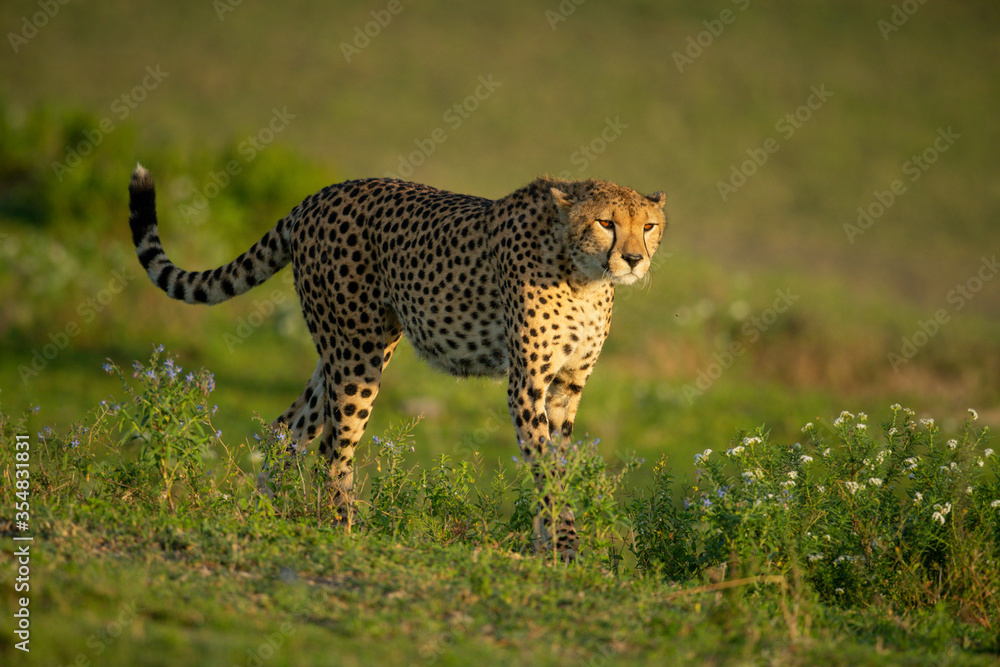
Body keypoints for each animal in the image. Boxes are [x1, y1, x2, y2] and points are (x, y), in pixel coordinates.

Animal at [127, 164, 667, 557]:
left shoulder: (566, 386)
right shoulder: (527, 382)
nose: (634, 259)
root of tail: (321, 194)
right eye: (605, 223)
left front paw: (548, 546)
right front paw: (564, 547)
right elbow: (545, 465)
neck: (584, 275)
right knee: (332, 445)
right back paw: (342, 529)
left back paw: (262, 514)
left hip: (344, 350)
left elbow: (558, 462)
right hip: (358, 352)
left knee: (288, 429)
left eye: (648, 226)